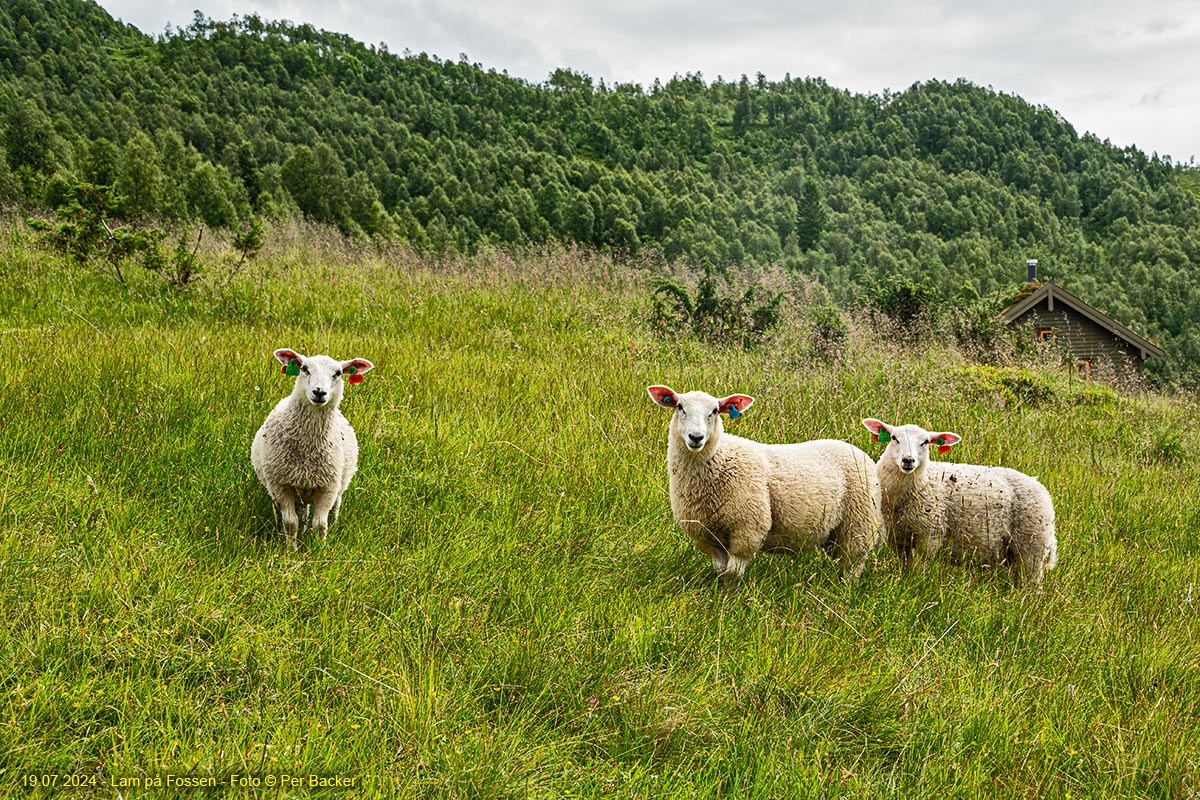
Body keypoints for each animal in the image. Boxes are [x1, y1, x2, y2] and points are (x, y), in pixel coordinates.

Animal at [248, 350, 369, 551]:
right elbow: (291, 523)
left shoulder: (328, 488)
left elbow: (320, 524)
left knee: (336, 506)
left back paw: (334, 524)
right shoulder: (281, 486)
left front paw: (319, 550)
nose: (319, 392)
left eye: (338, 373)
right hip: (300, 489)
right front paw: (291, 550)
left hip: (340, 482)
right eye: (304, 369)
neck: (308, 447)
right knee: (302, 514)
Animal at [648, 383, 883, 585]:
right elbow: (720, 572)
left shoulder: (748, 528)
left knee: (853, 563)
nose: (696, 437)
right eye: (680, 407)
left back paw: (845, 589)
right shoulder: (708, 537)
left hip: (858, 524)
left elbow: (733, 573)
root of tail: (859, 452)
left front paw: (729, 602)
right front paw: (719, 595)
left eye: (714, 411)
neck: (721, 460)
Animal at [864, 419, 1060, 587]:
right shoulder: (897, 538)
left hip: (1032, 548)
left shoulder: (930, 536)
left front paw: (915, 585)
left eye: (925, 442)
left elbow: (919, 570)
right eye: (894, 438)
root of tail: (1042, 488)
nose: (908, 460)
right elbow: (904, 567)